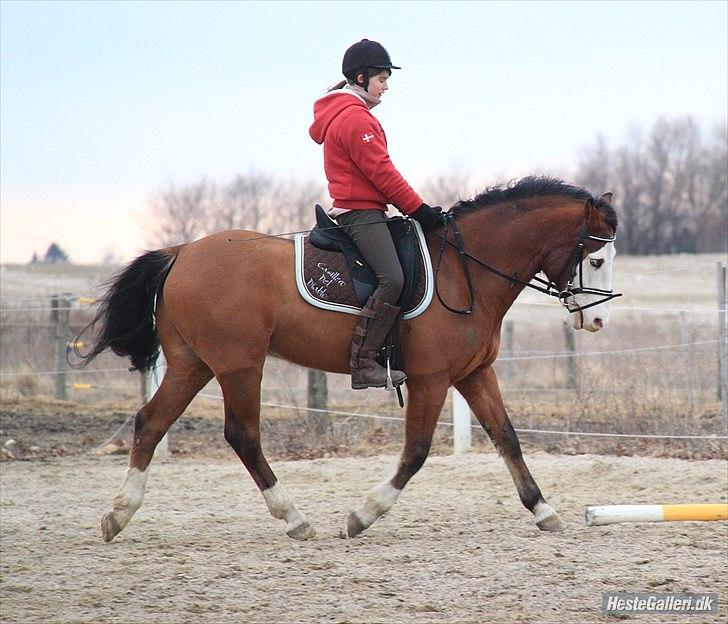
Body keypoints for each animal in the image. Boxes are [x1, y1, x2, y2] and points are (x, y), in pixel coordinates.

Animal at [79, 174, 616, 540]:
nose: (596, 321)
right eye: (595, 258)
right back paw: (294, 518)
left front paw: (544, 510)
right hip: (239, 366)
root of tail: (182, 251)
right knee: (242, 436)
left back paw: (118, 514)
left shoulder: (473, 374)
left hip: (193, 364)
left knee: (151, 421)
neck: (467, 271)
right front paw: (361, 516)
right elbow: (417, 451)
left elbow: (508, 438)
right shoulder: (431, 378)